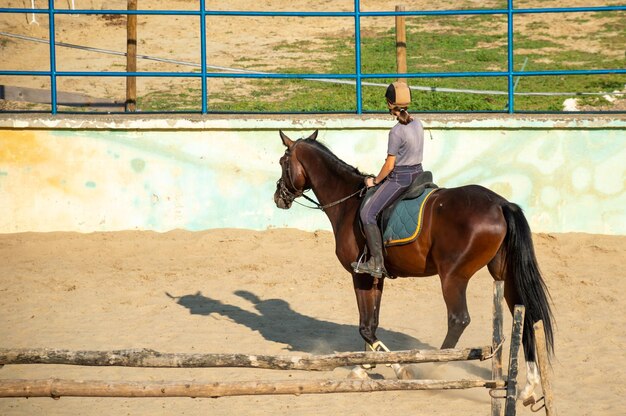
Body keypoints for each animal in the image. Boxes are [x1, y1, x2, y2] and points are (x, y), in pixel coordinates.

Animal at [270, 130, 552, 404]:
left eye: (283, 162)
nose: (278, 198)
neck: (348, 203)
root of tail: (501, 204)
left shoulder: (359, 276)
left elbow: (365, 326)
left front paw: (397, 368)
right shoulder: (375, 277)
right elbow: (372, 322)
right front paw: (365, 366)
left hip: (453, 276)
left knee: (458, 319)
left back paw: (432, 369)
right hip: (504, 275)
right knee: (526, 316)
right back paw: (529, 388)